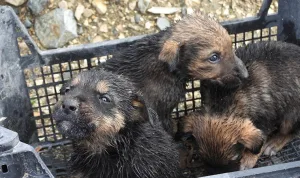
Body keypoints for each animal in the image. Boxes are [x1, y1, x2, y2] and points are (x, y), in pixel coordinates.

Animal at [183, 41, 300, 175]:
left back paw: (274, 143)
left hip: (292, 114)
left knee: (292, 131)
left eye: (235, 158)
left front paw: (248, 159)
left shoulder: (265, 120)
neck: (223, 102)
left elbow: (260, 142)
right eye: (201, 157)